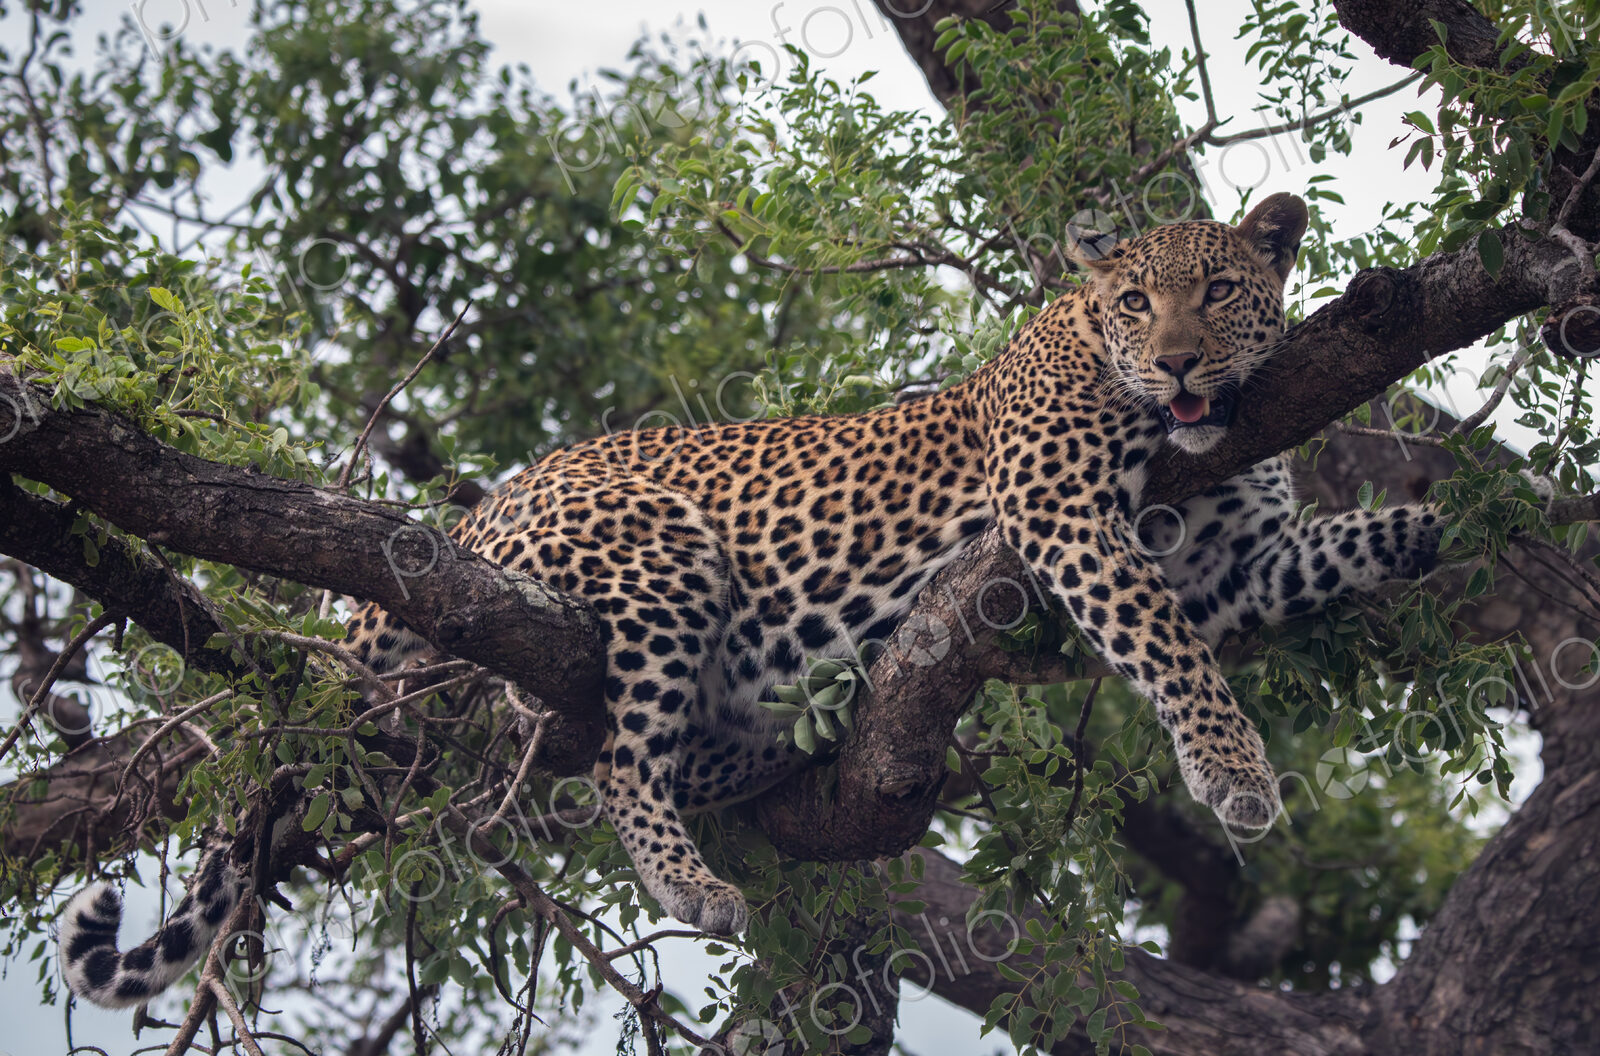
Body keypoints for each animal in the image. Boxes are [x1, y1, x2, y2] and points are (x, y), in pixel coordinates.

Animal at [59, 191, 1448, 1006]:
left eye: (1218, 291)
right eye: (1131, 301)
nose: (1177, 362)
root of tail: (478, 509)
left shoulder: (1236, 569)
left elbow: (1316, 561)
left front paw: (1436, 527)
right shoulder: (1063, 514)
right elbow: (1166, 648)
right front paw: (1237, 776)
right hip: (662, 558)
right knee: (616, 757)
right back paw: (691, 883)